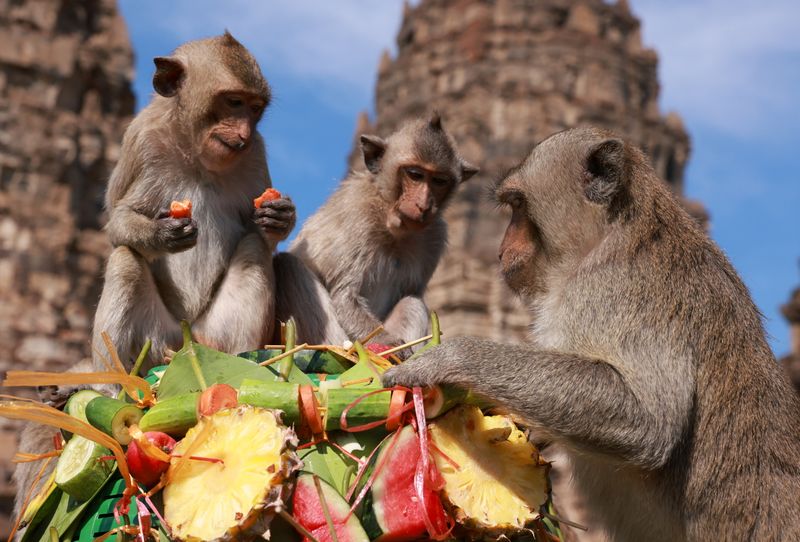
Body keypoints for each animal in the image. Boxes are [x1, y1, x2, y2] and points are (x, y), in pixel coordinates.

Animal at [13, 31, 294, 528]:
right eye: (233, 101)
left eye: (254, 108)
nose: (241, 132)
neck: (195, 153)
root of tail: (185, 342)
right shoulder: (140, 140)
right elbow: (118, 223)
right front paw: (159, 234)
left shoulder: (256, 154)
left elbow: (260, 231)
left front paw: (280, 217)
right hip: (155, 339)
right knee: (124, 261)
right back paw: (110, 389)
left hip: (212, 333)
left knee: (253, 250)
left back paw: (249, 360)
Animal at [276, 115, 476, 350]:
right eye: (415, 175)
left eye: (439, 181)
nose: (423, 205)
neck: (390, 219)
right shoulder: (357, 214)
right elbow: (345, 296)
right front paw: (386, 342)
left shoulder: (434, 236)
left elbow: (411, 293)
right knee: (289, 266)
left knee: (412, 301)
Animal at [382, 129, 800, 542]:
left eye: (517, 205)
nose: (502, 250)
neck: (609, 235)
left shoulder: (613, 288)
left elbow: (649, 421)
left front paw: (449, 359)